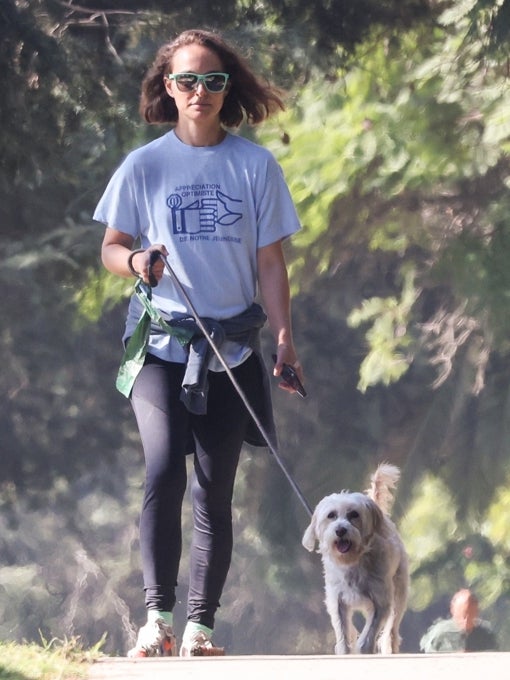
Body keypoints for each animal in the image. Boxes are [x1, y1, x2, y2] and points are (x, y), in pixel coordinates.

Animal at [304, 462, 408, 652]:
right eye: (331, 515)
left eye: (354, 514)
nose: (340, 530)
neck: (353, 562)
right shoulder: (337, 601)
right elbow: (343, 636)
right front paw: (345, 651)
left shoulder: (381, 601)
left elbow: (367, 638)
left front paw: (364, 649)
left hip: (399, 592)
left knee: (391, 631)